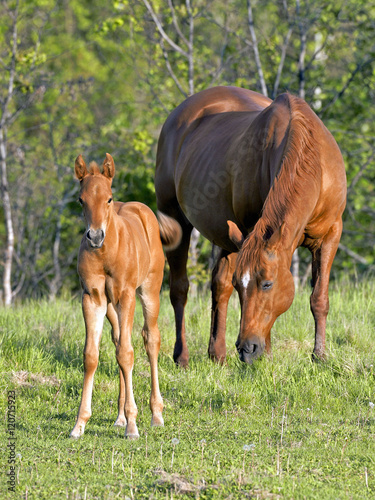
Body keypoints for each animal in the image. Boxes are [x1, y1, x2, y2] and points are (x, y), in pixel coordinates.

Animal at [71, 152, 182, 438]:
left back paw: (155, 414)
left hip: (149, 292)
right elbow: (92, 356)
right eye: (81, 200)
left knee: (150, 340)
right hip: (112, 308)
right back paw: (120, 417)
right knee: (119, 340)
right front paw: (80, 424)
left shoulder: (126, 296)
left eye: (109, 198)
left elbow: (127, 354)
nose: (95, 236)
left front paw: (133, 425)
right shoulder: (92, 298)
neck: (106, 253)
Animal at [155, 85, 346, 368]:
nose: (246, 348)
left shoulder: (330, 235)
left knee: (219, 286)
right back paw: (182, 356)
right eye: (241, 285)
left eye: (267, 284)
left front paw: (319, 357)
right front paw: (267, 356)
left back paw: (218, 354)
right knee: (180, 289)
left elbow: (319, 298)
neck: (315, 165)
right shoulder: (249, 231)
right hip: (176, 221)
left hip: (227, 235)